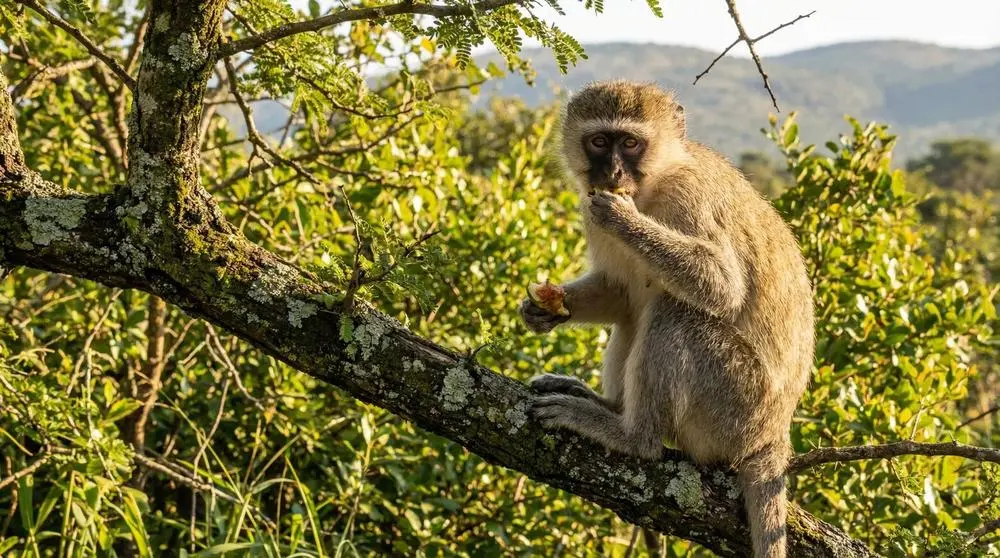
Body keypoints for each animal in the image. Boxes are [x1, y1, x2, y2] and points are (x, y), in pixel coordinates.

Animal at [518, 80, 814, 558]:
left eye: (630, 144)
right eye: (599, 142)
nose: (612, 173)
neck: (652, 185)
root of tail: (774, 436)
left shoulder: (689, 197)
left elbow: (721, 285)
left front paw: (622, 218)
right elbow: (620, 294)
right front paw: (543, 308)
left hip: (735, 405)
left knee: (674, 312)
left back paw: (632, 436)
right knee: (639, 314)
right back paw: (609, 405)